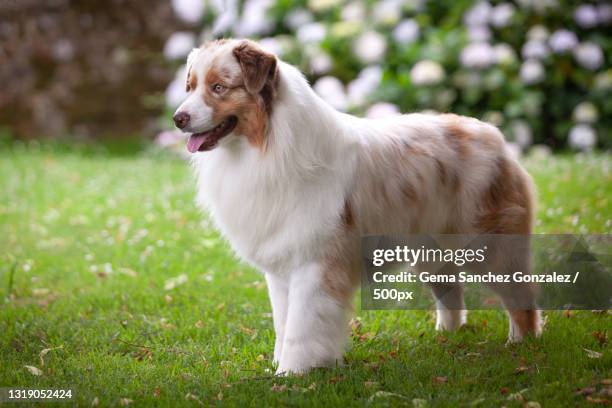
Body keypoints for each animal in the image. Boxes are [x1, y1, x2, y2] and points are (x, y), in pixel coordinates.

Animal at [171, 39, 540, 374]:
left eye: (219, 87)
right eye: (190, 87)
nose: (178, 118)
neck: (266, 146)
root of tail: (494, 136)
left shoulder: (314, 263)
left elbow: (301, 327)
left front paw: (291, 374)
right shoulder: (281, 264)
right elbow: (283, 322)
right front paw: (280, 366)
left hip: (491, 244)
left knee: (520, 295)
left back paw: (520, 344)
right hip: (431, 249)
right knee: (451, 293)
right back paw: (447, 337)